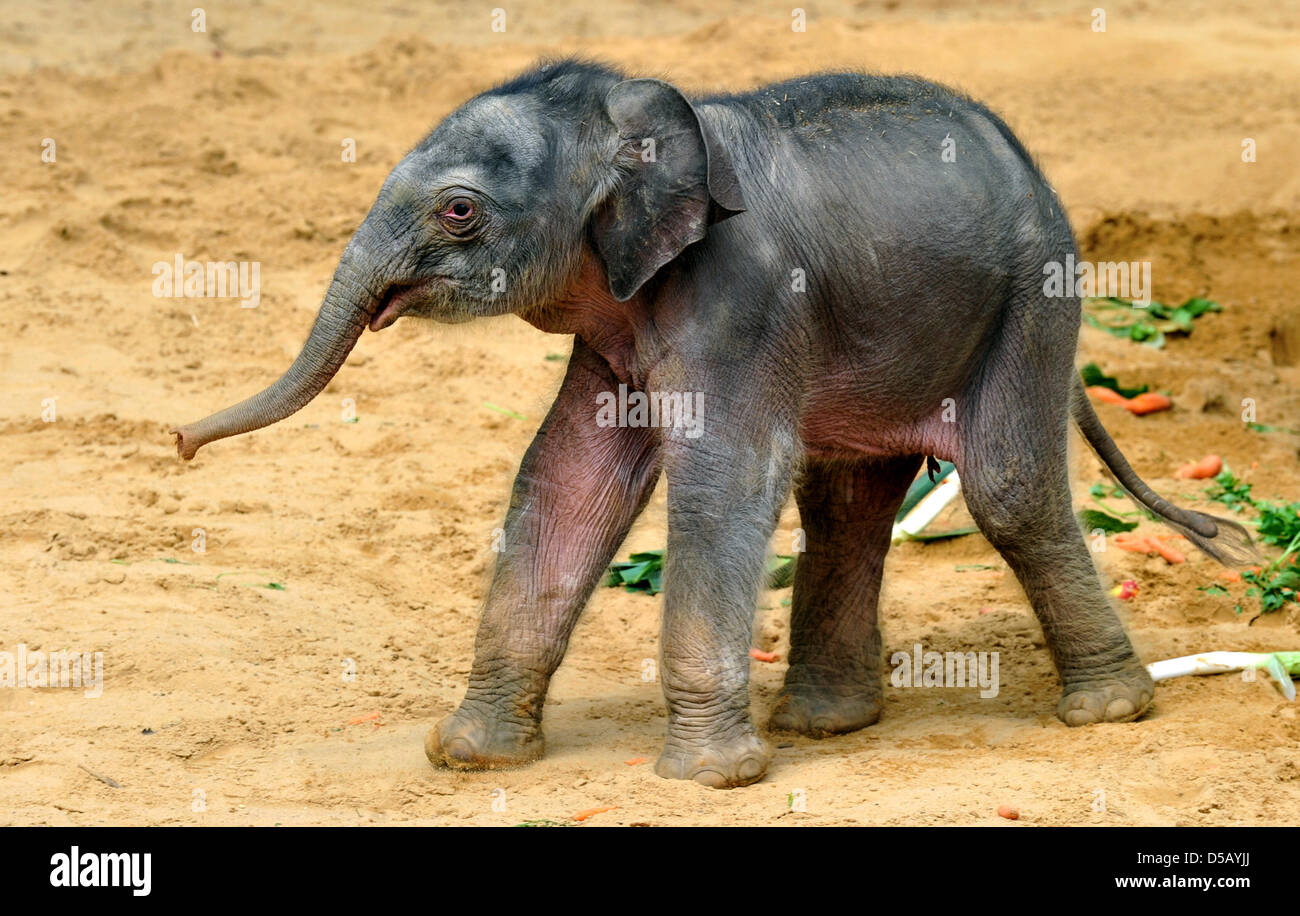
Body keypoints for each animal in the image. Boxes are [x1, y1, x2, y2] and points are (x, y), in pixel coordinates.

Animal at [173, 58, 1255, 788]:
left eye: (458, 212)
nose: (180, 443)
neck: (644, 113)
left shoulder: (745, 298)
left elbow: (725, 480)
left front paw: (706, 778)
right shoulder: (616, 324)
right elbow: (565, 480)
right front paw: (471, 756)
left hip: (1033, 298)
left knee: (1006, 487)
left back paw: (1106, 710)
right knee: (846, 501)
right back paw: (825, 724)